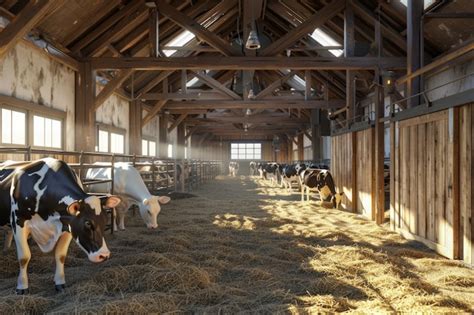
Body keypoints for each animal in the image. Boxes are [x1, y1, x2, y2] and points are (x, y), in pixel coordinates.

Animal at [0, 159, 120, 296]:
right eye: (88, 223)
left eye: (105, 220)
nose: (104, 255)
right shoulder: (18, 221)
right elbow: (24, 257)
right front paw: (22, 287)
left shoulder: (68, 225)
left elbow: (60, 255)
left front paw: (60, 283)